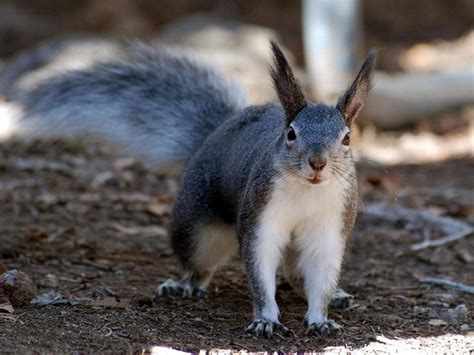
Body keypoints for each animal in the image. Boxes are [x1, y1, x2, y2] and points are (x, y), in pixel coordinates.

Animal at [0, 40, 378, 338]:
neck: (307, 191)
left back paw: (336, 295)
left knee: (297, 274)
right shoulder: (260, 220)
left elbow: (322, 276)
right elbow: (260, 271)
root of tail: (216, 134)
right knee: (200, 264)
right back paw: (183, 285)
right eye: (290, 134)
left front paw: (320, 318)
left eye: (347, 138)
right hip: (198, 229)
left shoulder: (330, 228)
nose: (317, 163)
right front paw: (266, 319)